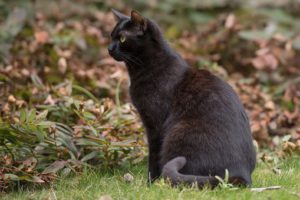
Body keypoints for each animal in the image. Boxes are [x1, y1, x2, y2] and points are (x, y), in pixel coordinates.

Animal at [108, 9, 255, 188]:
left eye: (122, 38)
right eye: (111, 36)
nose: (109, 48)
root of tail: (241, 174)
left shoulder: (154, 125)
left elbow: (153, 156)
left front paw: (150, 184)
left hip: (177, 132)